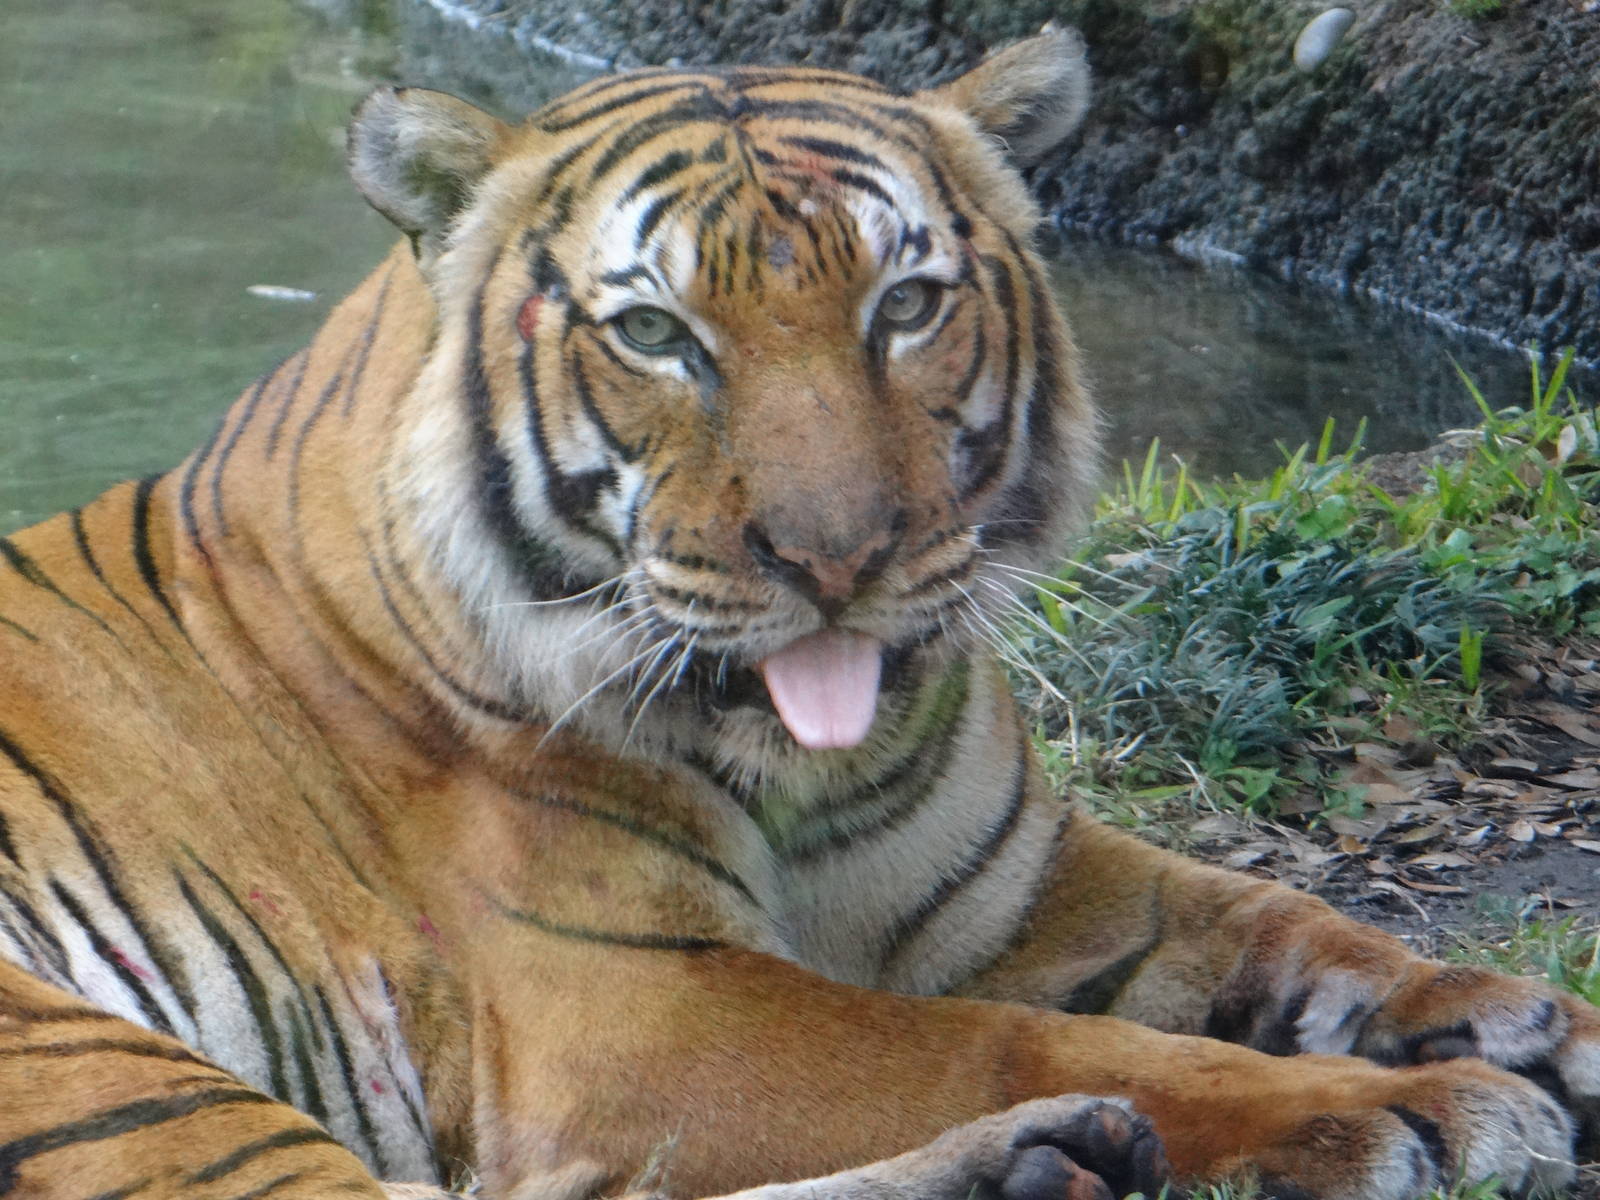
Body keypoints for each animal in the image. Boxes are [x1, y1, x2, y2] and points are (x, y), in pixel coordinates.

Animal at [1, 25, 1597, 1200]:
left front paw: (1525, 1021)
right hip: (87, 1059)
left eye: (906, 306)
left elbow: (1274, 916)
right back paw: (1028, 1160)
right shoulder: (639, 1016)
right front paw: (1416, 1110)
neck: (824, 776)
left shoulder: (1021, 878)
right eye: (655, 333)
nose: (833, 558)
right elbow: (998, 1042)